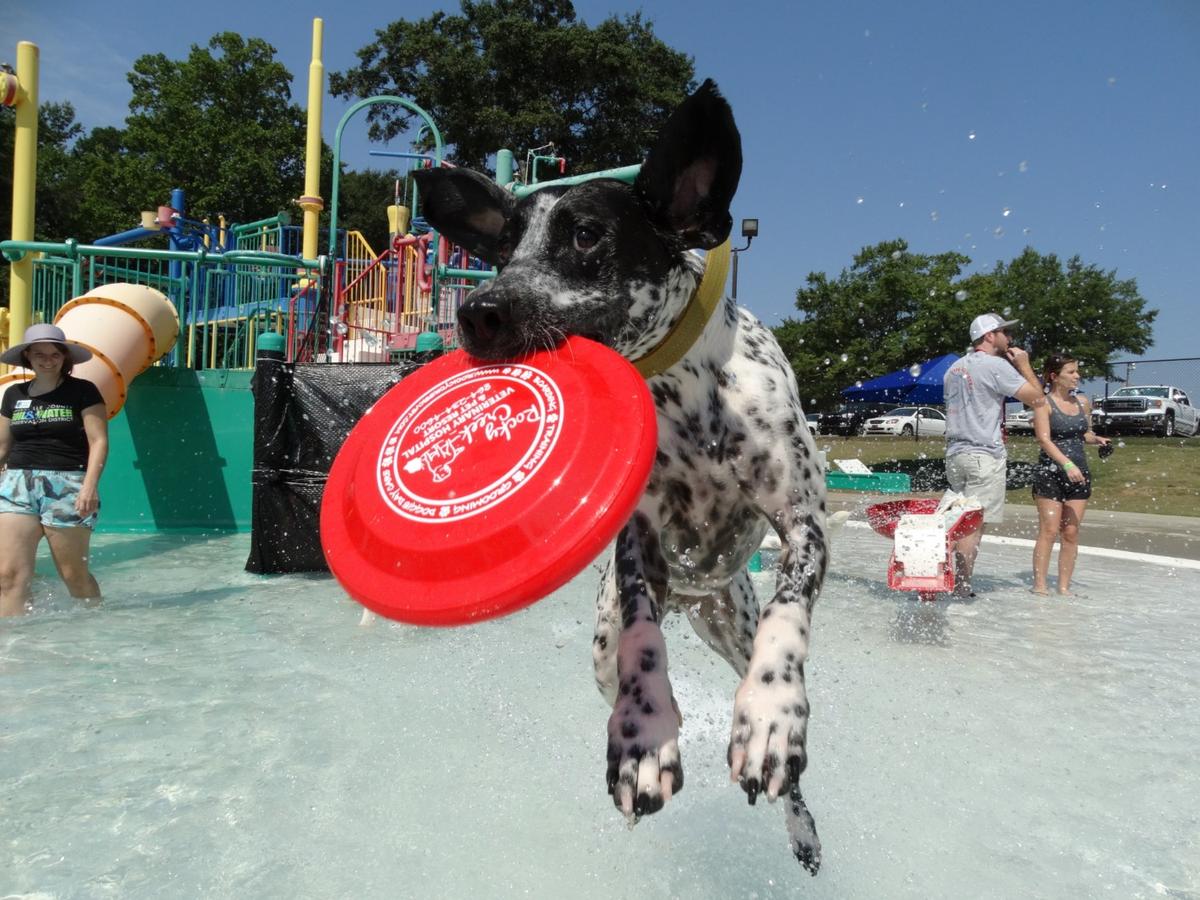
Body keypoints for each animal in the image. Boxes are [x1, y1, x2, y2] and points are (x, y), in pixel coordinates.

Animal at [412, 82, 825, 873]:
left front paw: (769, 711)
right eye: (503, 248)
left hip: (733, 619)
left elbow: (789, 620)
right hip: (619, 641)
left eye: (585, 235)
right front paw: (645, 733)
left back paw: (803, 826)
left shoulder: (803, 525)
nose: (477, 312)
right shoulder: (638, 548)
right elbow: (641, 637)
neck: (687, 395)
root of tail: (700, 598)